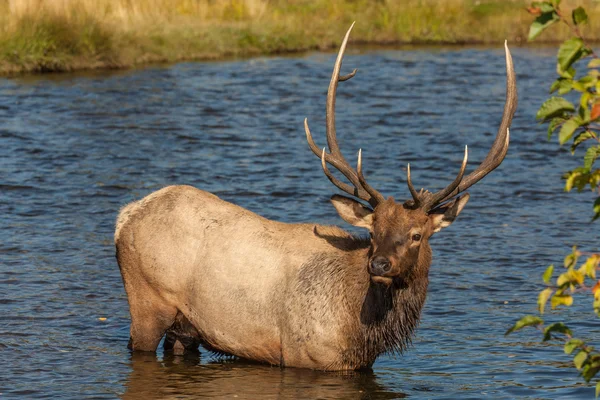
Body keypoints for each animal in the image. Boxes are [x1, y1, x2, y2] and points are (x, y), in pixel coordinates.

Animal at [115, 23, 516, 370]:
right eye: (373, 232)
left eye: (417, 235)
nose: (379, 265)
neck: (361, 332)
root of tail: (125, 216)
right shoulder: (303, 359)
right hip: (147, 303)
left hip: (186, 328)